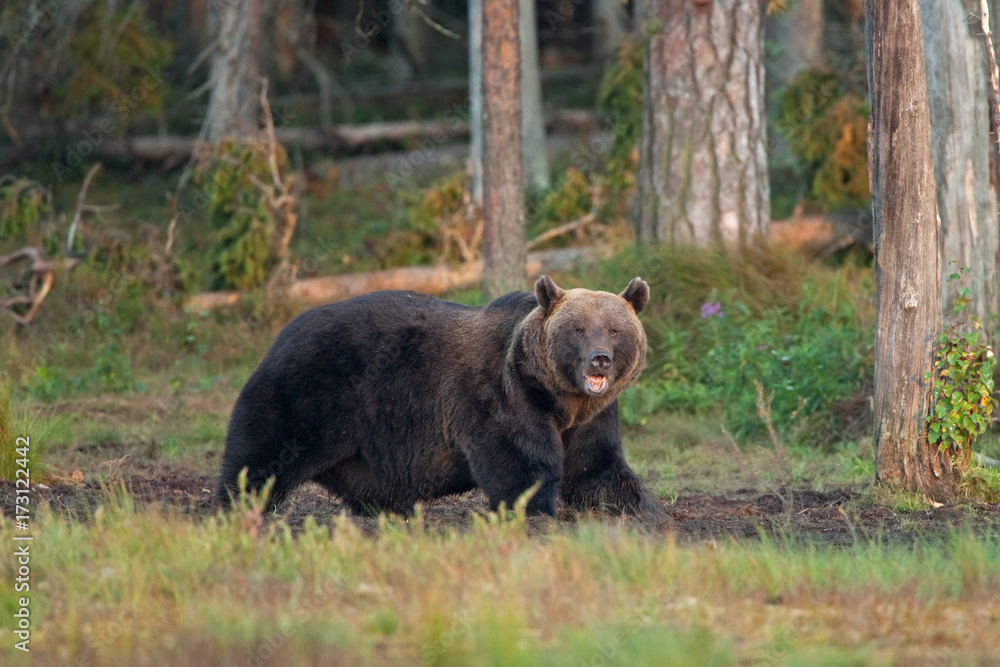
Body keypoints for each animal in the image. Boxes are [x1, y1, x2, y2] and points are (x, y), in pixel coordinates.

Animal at [215, 274, 660, 520]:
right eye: (578, 329)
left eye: (614, 330)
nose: (600, 359)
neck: (559, 398)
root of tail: (283, 333)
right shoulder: (504, 395)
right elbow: (521, 462)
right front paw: (536, 510)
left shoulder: (592, 416)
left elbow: (595, 466)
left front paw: (644, 507)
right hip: (309, 391)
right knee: (261, 453)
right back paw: (237, 504)